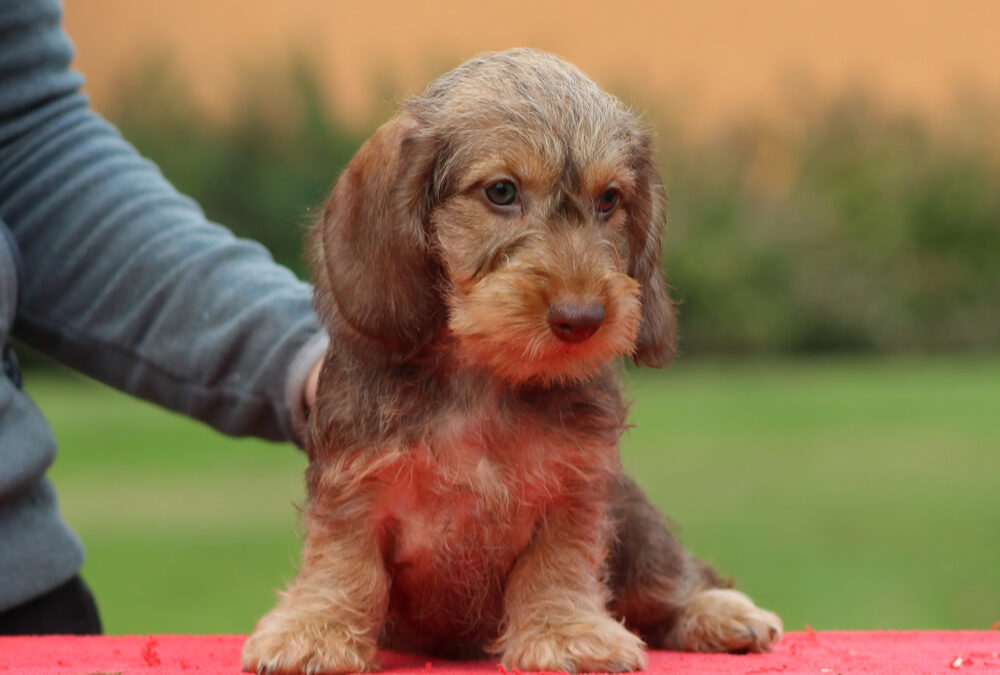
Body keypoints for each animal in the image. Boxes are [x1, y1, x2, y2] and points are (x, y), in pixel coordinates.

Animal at [242, 48, 780, 675]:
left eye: (609, 199)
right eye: (501, 191)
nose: (582, 318)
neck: (482, 375)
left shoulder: (576, 487)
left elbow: (557, 564)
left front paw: (565, 631)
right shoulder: (354, 484)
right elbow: (343, 562)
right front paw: (317, 629)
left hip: (637, 524)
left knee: (673, 581)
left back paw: (717, 611)